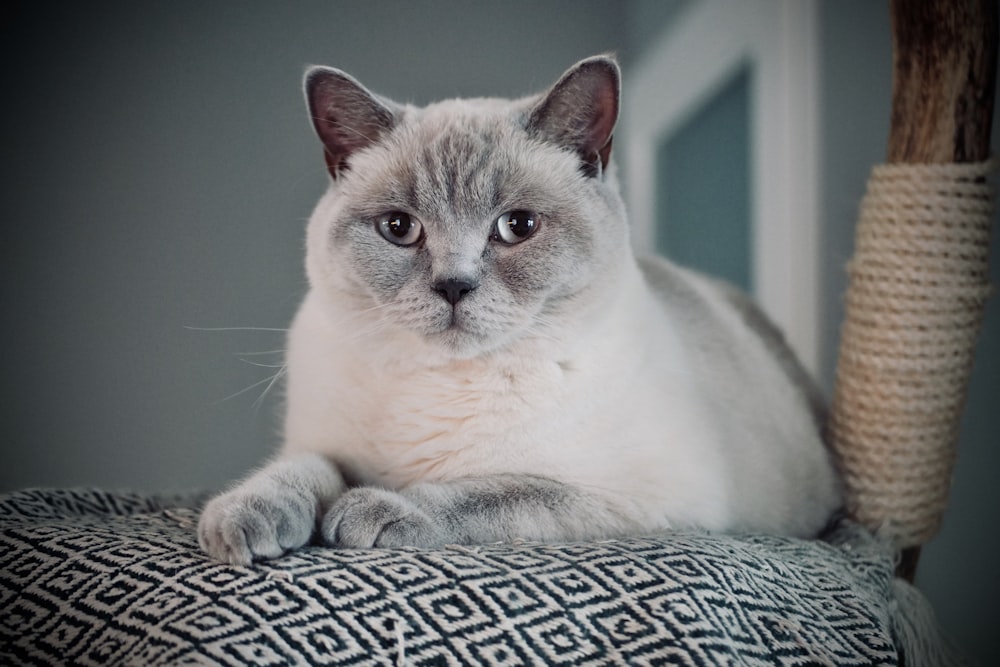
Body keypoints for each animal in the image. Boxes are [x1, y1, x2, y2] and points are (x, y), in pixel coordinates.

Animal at [197, 56, 844, 564]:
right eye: (400, 228)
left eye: (518, 227)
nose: (453, 286)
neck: (441, 384)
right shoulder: (324, 446)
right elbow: (297, 472)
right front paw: (239, 522)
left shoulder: (633, 498)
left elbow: (487, 492)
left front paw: (371, 510)